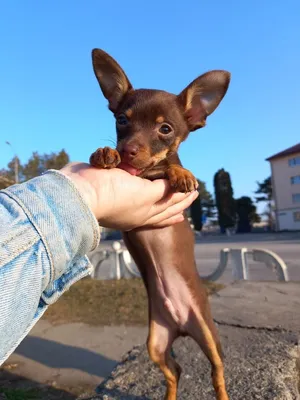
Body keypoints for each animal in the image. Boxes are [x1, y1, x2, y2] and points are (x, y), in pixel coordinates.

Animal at [89, 48, 230, 398]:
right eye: (121, 120)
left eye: (165, 129)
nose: (127, 150)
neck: (142, 173)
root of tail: (181, 325)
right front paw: (105, 152)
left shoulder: (158, 170)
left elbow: (169, 166)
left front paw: (181, 174)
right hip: (156, 343)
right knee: (174, 371)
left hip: (208, 334)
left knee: (217, 371)